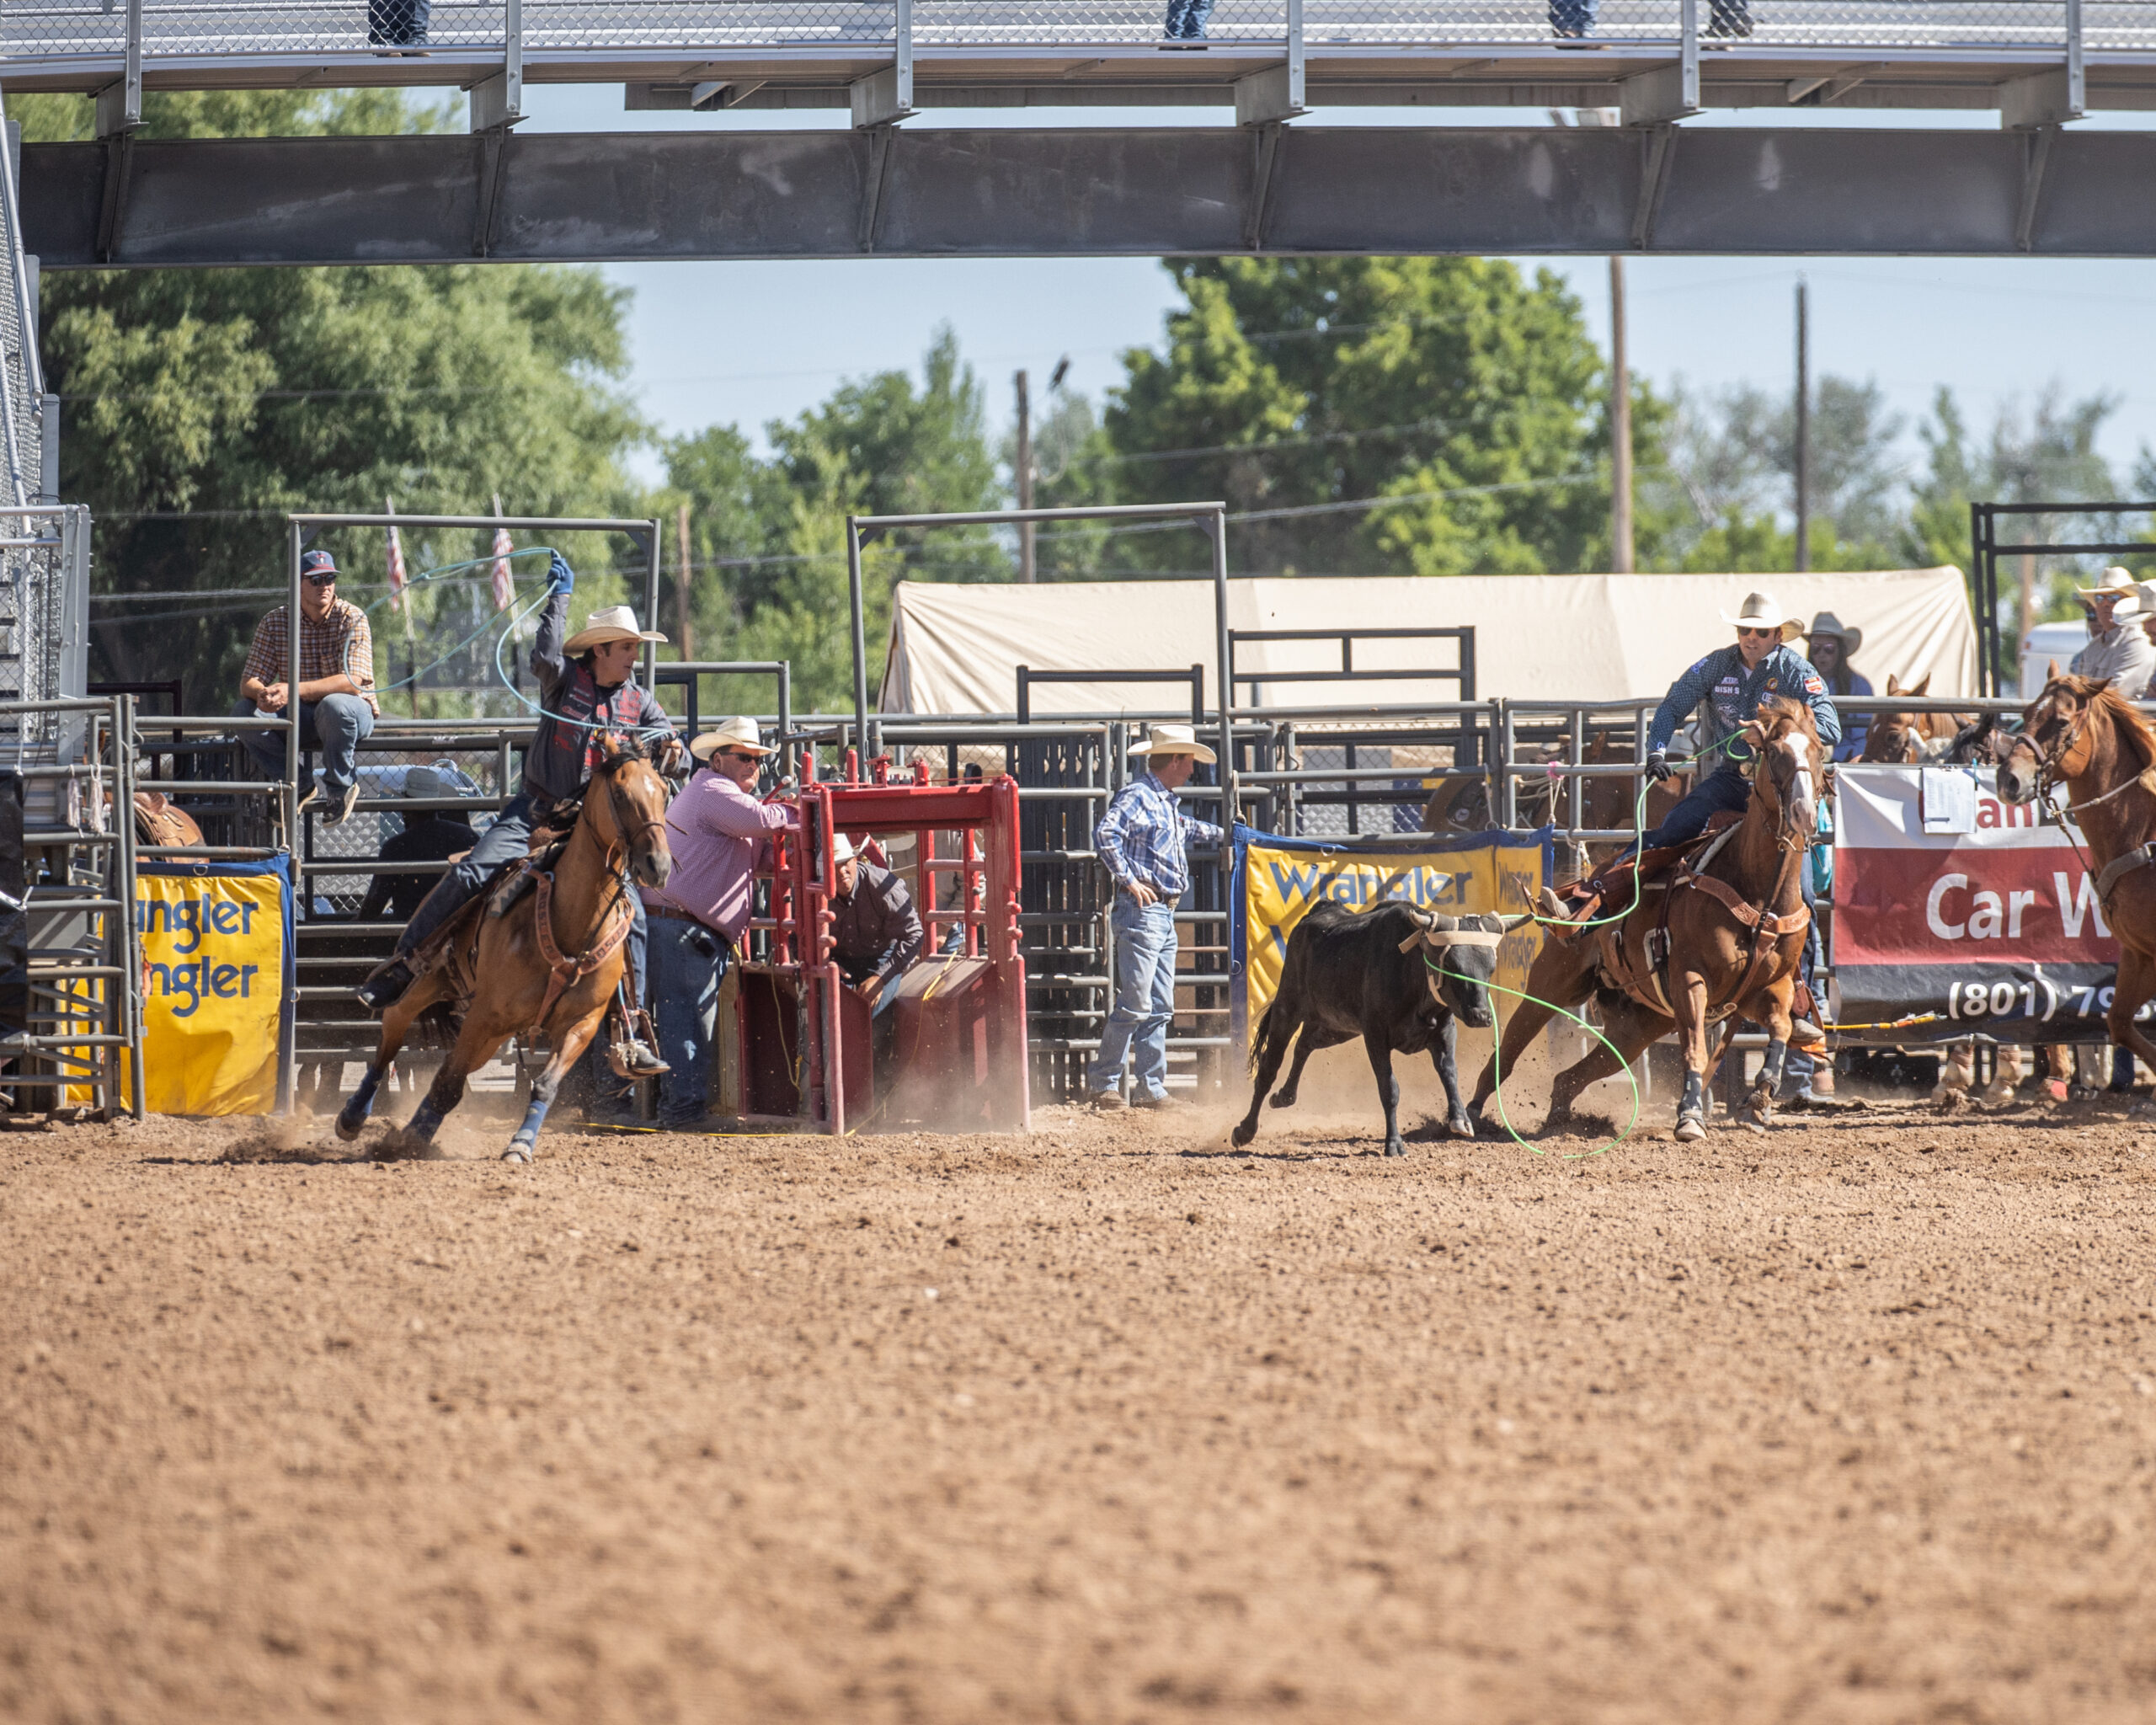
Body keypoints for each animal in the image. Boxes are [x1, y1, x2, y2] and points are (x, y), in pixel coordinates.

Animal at [334, 733, 672, 1164]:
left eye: (663, 790)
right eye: (619, 792)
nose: (658, 865)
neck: (571, 920)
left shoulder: (581, 1023)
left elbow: (543, 1084)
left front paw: (520, 1145)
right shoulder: (486, 1014)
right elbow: (449, 1084)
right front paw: (409, 1138)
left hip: (491, 1030)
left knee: (447, 1064)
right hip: (431, 983)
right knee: (393, 1031)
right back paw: (353, 1115)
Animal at [1465, 694, 1819, 1138]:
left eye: (1819, 752)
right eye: (1773, 752)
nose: (1804, 812)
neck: (1759, 896)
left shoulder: (1767, 991)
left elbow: (1782, 1029)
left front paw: (1759, 1097)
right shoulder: (1690, 979)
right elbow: (1696, 1050)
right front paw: (1690, 1118)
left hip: (1639, 1026)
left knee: (1569, 1078)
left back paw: (1561, 1123)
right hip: (1550, 986)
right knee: (1508, 1053)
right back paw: (1468, 1116)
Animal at [1992, 668, 2156, 1078]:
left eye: (2062, 722)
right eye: (2028, 713)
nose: (2008, 780)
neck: (2143, 832)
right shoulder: (2138, 953)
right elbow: (2119, 1022)